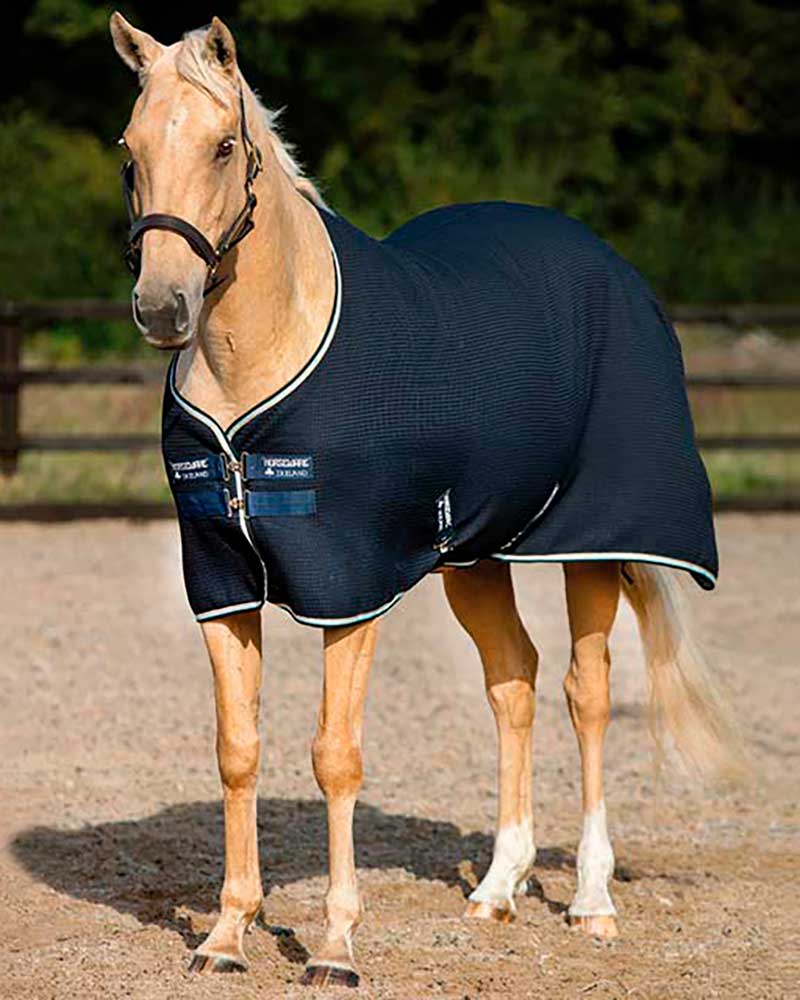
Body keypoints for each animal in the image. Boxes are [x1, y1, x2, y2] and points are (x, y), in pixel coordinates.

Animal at [110, 13, 741, 988]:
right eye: (130, 149)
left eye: (221, 145)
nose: (163, 306)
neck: (260, 356)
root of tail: (610, 267)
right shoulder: (221, 585)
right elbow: (237, 753)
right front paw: (225, 936)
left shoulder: (348, 589)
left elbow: (335, 757)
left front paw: (335, 948)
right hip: (474, 558)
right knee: (514, 682)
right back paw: (496, 889)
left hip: (593, 548)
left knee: (586, 693)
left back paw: (591, 902)